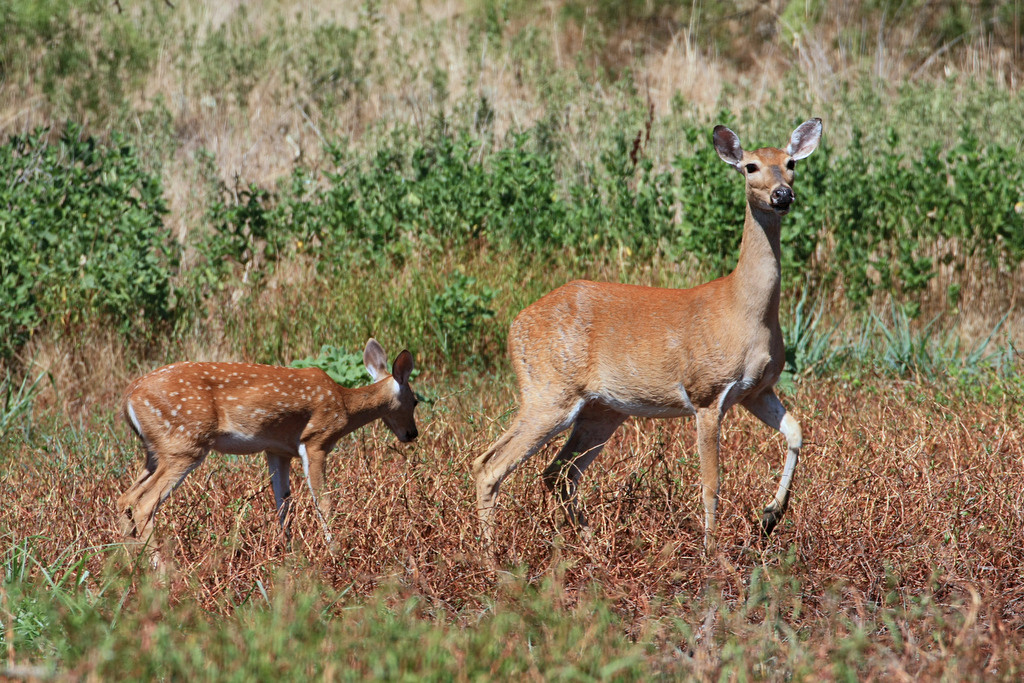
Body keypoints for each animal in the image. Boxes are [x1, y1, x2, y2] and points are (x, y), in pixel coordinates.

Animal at [116, 338, 418, 551]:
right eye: (416, 401)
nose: (412, 434)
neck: (344, 404)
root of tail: (129, 395)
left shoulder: (277, 450)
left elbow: (283, 503)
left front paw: (288, 552)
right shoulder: (316, 440)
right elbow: (323, 501)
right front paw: (335, 550)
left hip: (155, 452)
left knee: (125, 499)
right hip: (184, 444)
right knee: (144, 503)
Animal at [473, 119, 823, 554]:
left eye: (791, 163)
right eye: (750, 166)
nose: (782, 195)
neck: (745, 312)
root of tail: (515, 326)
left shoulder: (756, 390)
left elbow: (797, 432)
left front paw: (771, 515)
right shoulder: (707, 393)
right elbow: (711, 483)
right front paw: (712, 553)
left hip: (602, 409)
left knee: (559, 472)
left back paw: (591, 547)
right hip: (548, 391)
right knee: (490, 465)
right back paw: (491, 556)